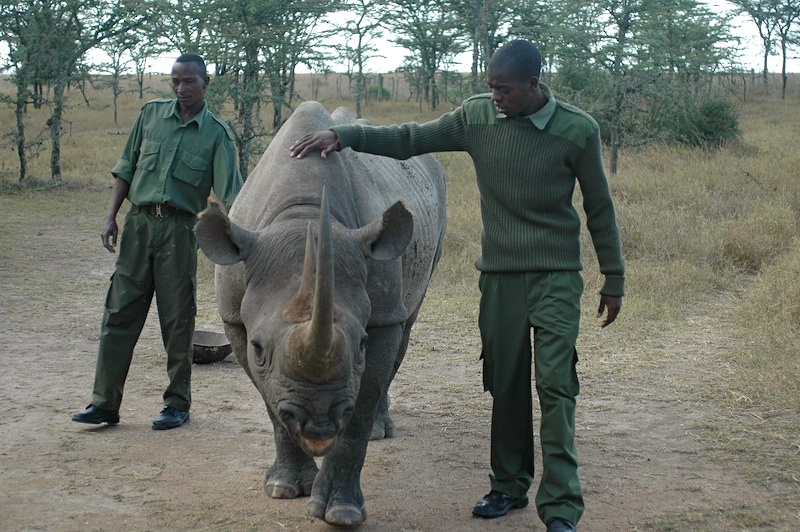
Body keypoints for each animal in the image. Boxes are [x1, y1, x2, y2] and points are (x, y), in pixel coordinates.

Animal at [195, 101, 446, 526]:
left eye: (361, 345)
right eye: (259, 348)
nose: (319, 421)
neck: (303, 216)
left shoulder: (380, 315)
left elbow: (359, 408)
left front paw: (340, 511)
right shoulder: (234, 317)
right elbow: (271, 402)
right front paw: (284, 488)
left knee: (407, 320)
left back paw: (381, 430)